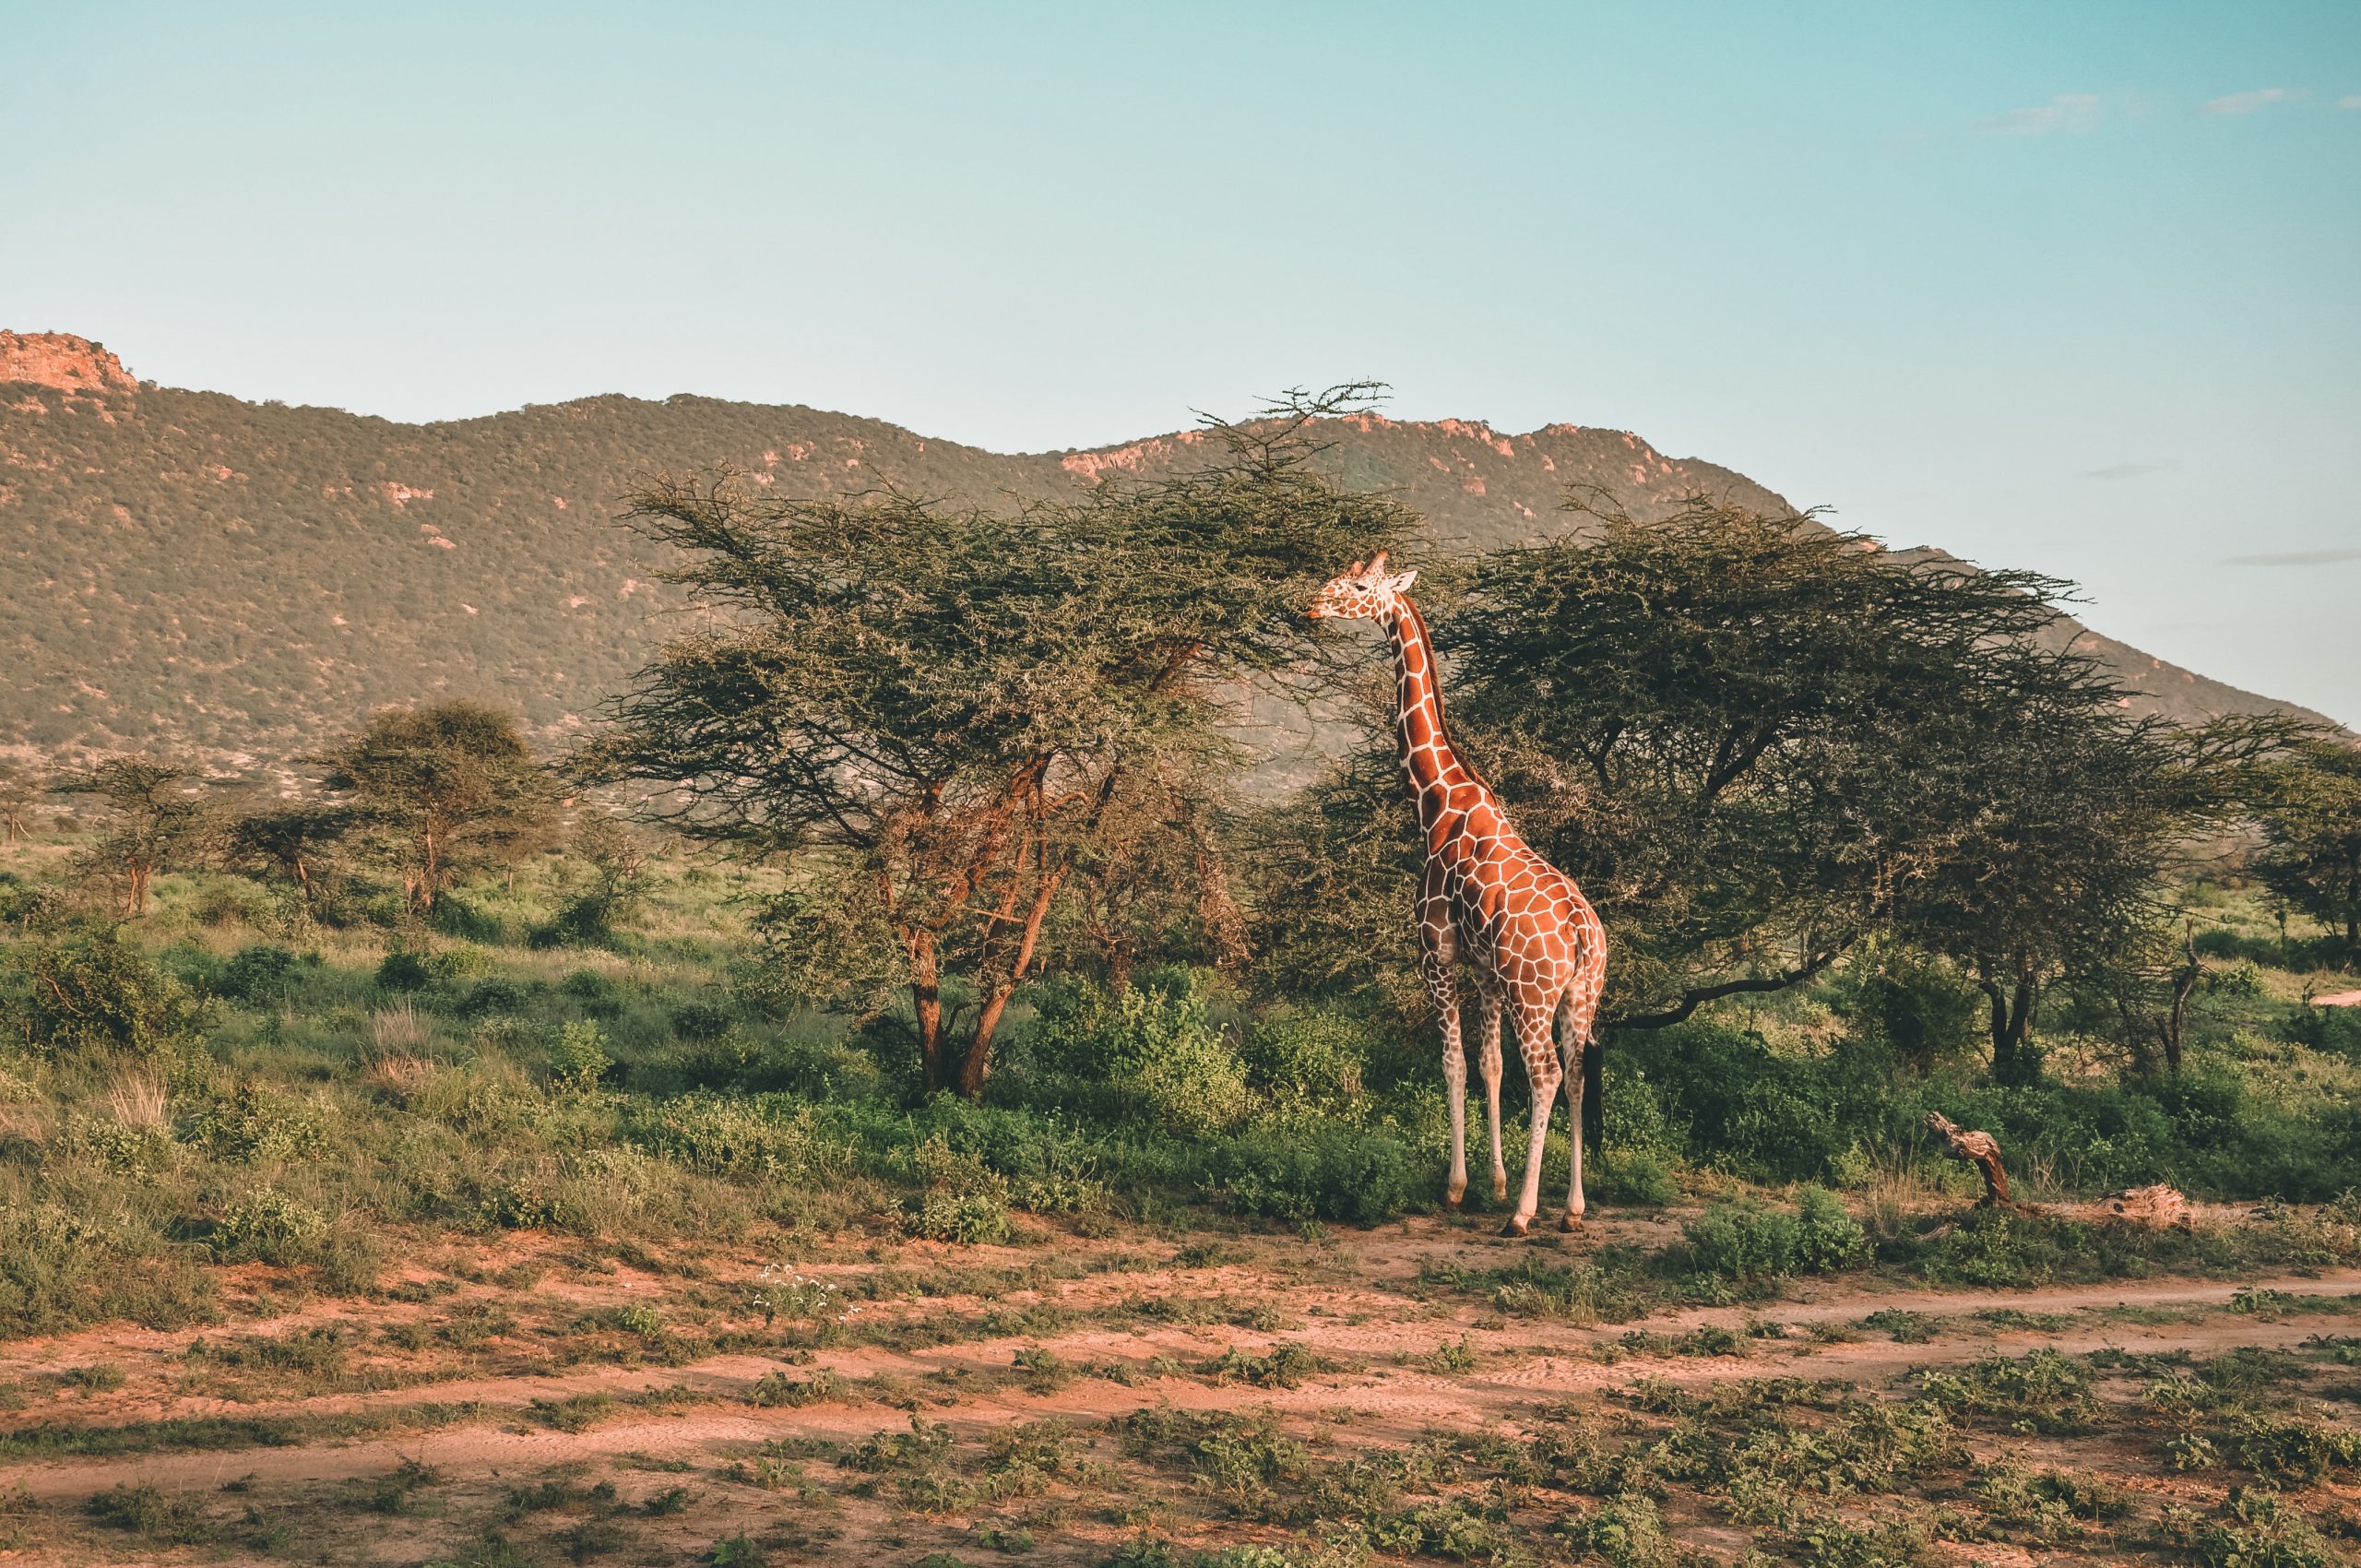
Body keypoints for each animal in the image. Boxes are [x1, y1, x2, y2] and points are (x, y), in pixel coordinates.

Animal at [1303, 554, 1615, 1237]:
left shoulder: (1437, 957)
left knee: (1547, 1074)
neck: (1436, 802)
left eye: (1359, 587)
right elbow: (1489, 1066)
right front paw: (1494, 1182)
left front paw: (1459, 1187)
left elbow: (1452, 1063)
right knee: (1578, 1072)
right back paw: (1572, 1209)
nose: (1314, 606)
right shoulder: (1486, 973)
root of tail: (1583, 930)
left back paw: (1526, 1214)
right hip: (1581, 992)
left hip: (1534, 992)